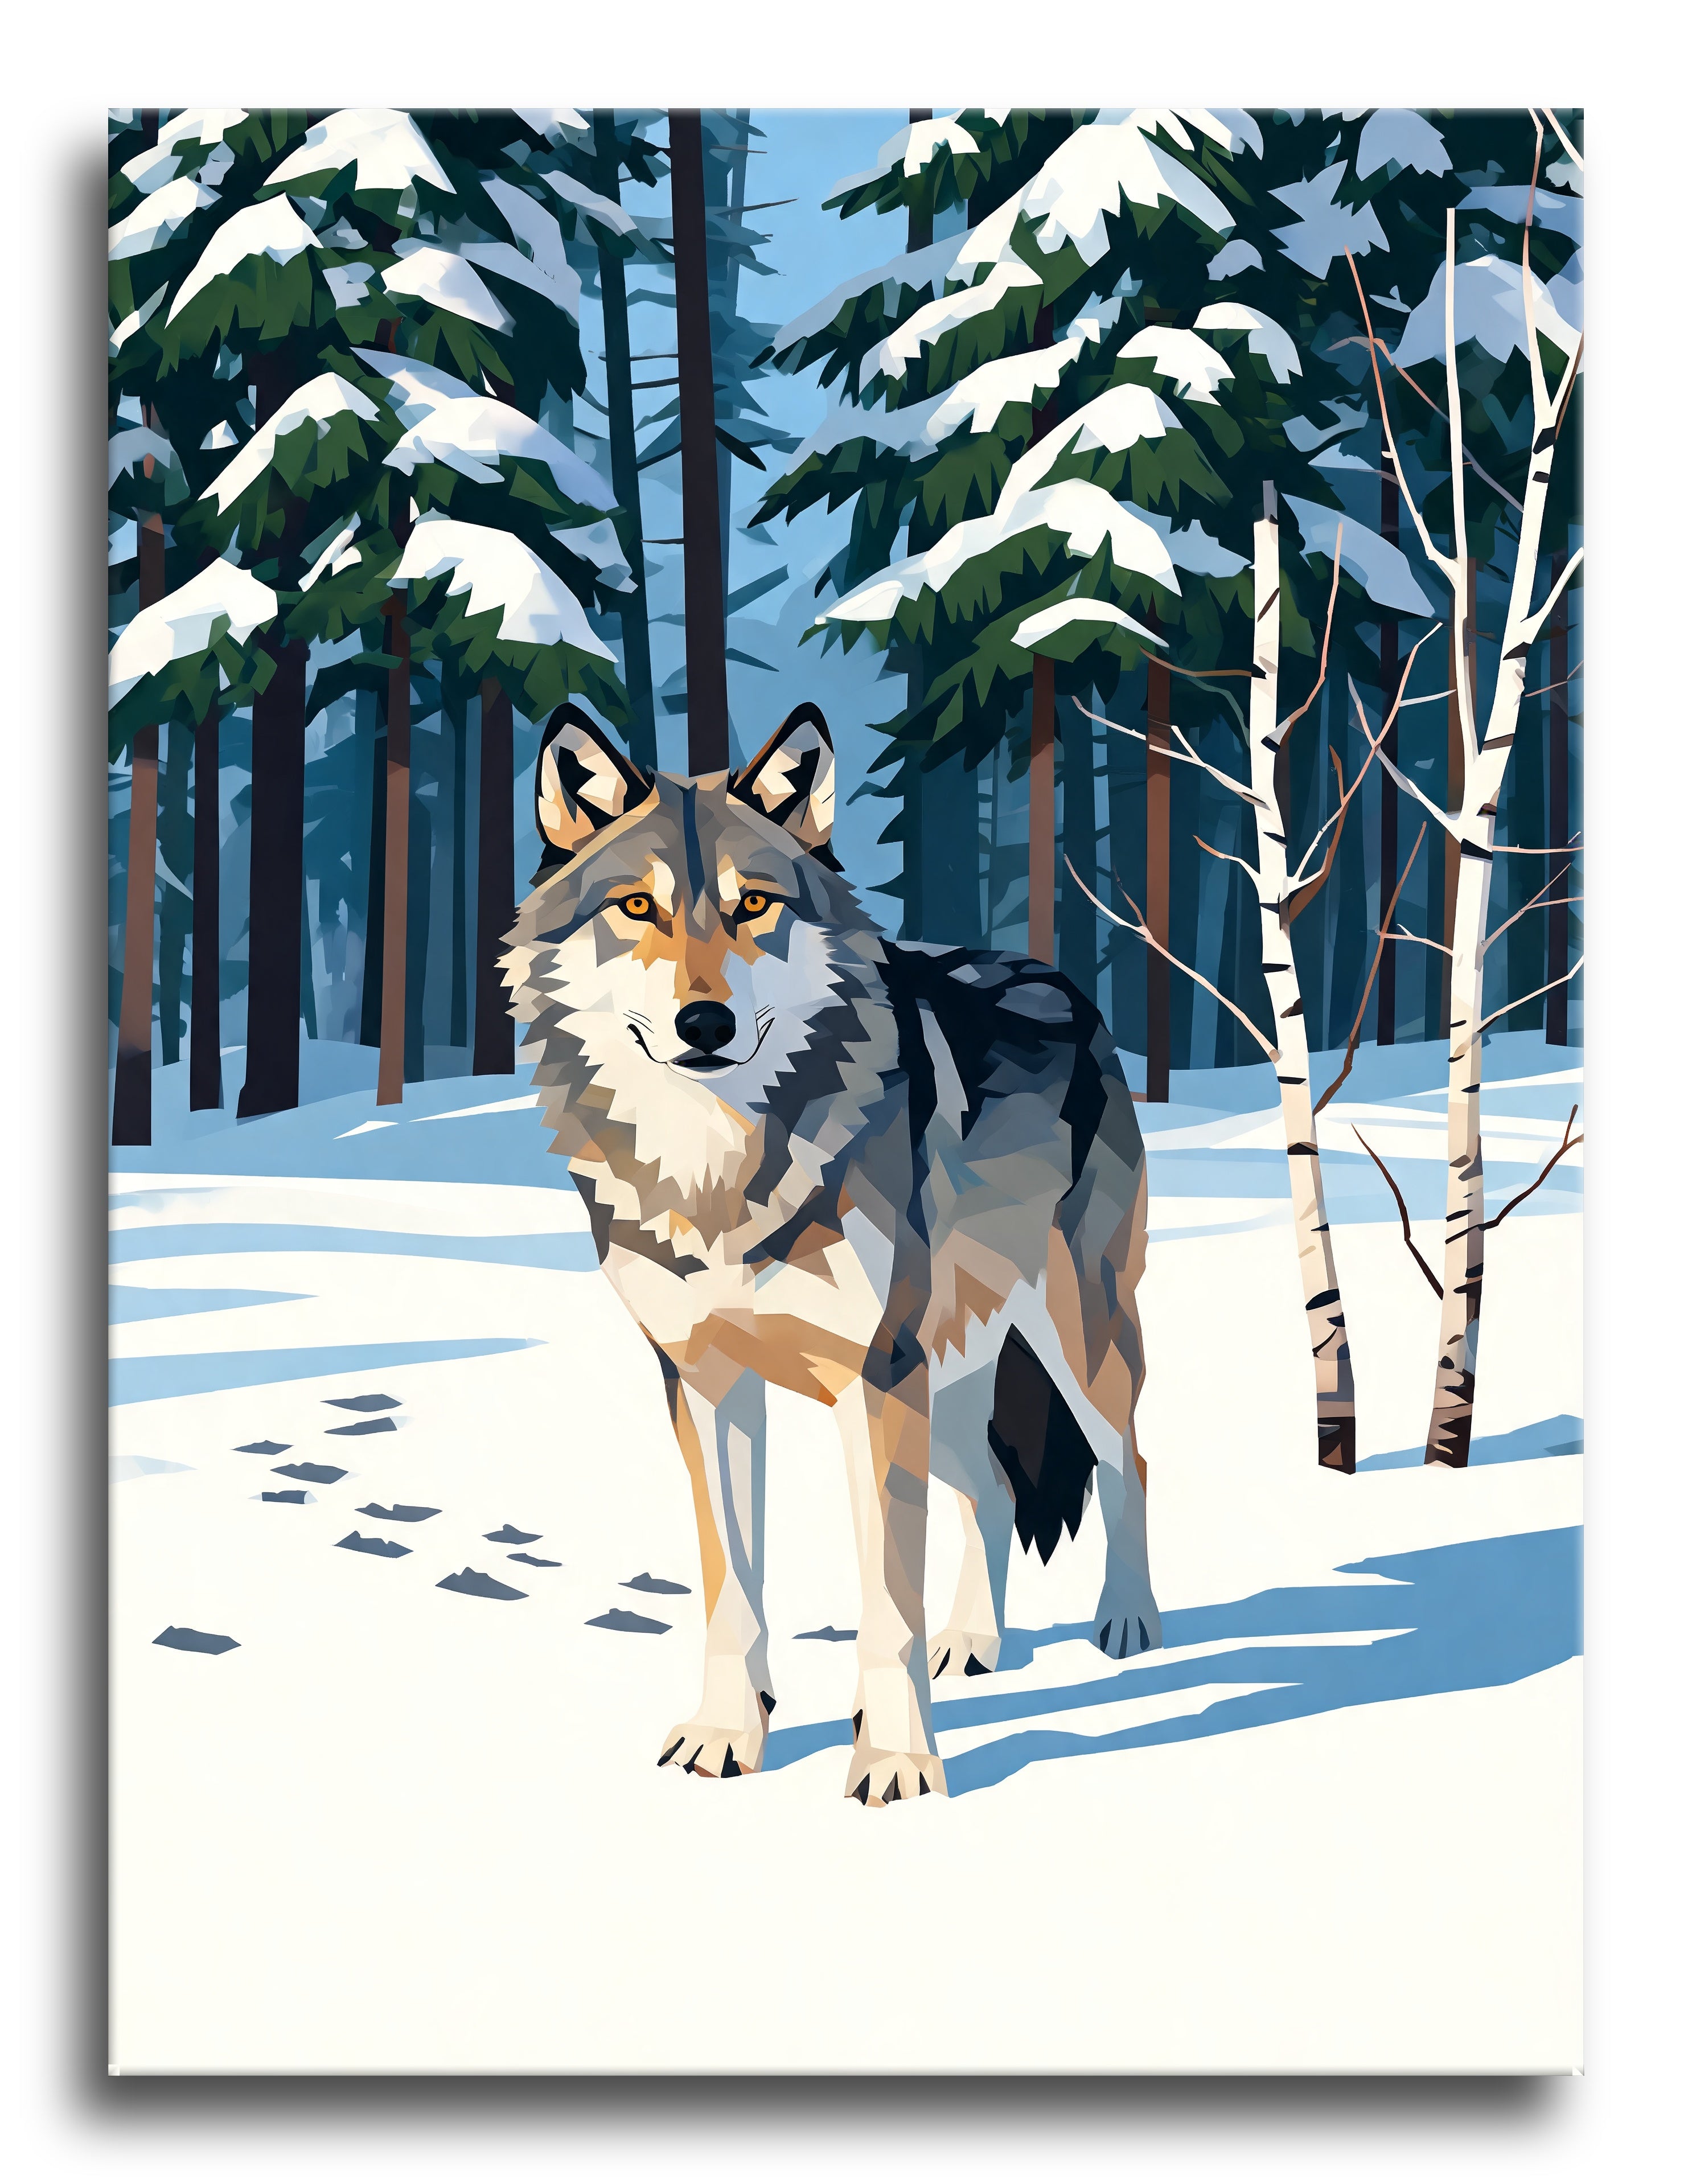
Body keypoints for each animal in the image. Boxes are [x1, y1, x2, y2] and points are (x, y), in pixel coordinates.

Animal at [502, 701, 1161, 1805]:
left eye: (753, 905)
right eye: (637, 906)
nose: (705, 1022)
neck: (719, 1168)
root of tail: (1055, 973)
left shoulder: (875, 1377)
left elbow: (885, 1606)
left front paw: (894, 1761)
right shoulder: (705, 1382)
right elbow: (732, 1589)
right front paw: (728, 1736)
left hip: (1069, 1338)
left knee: (1129, 1461)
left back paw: (1129, 1620)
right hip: (950, 1371)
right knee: (991, 1490)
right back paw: (974, 1643)